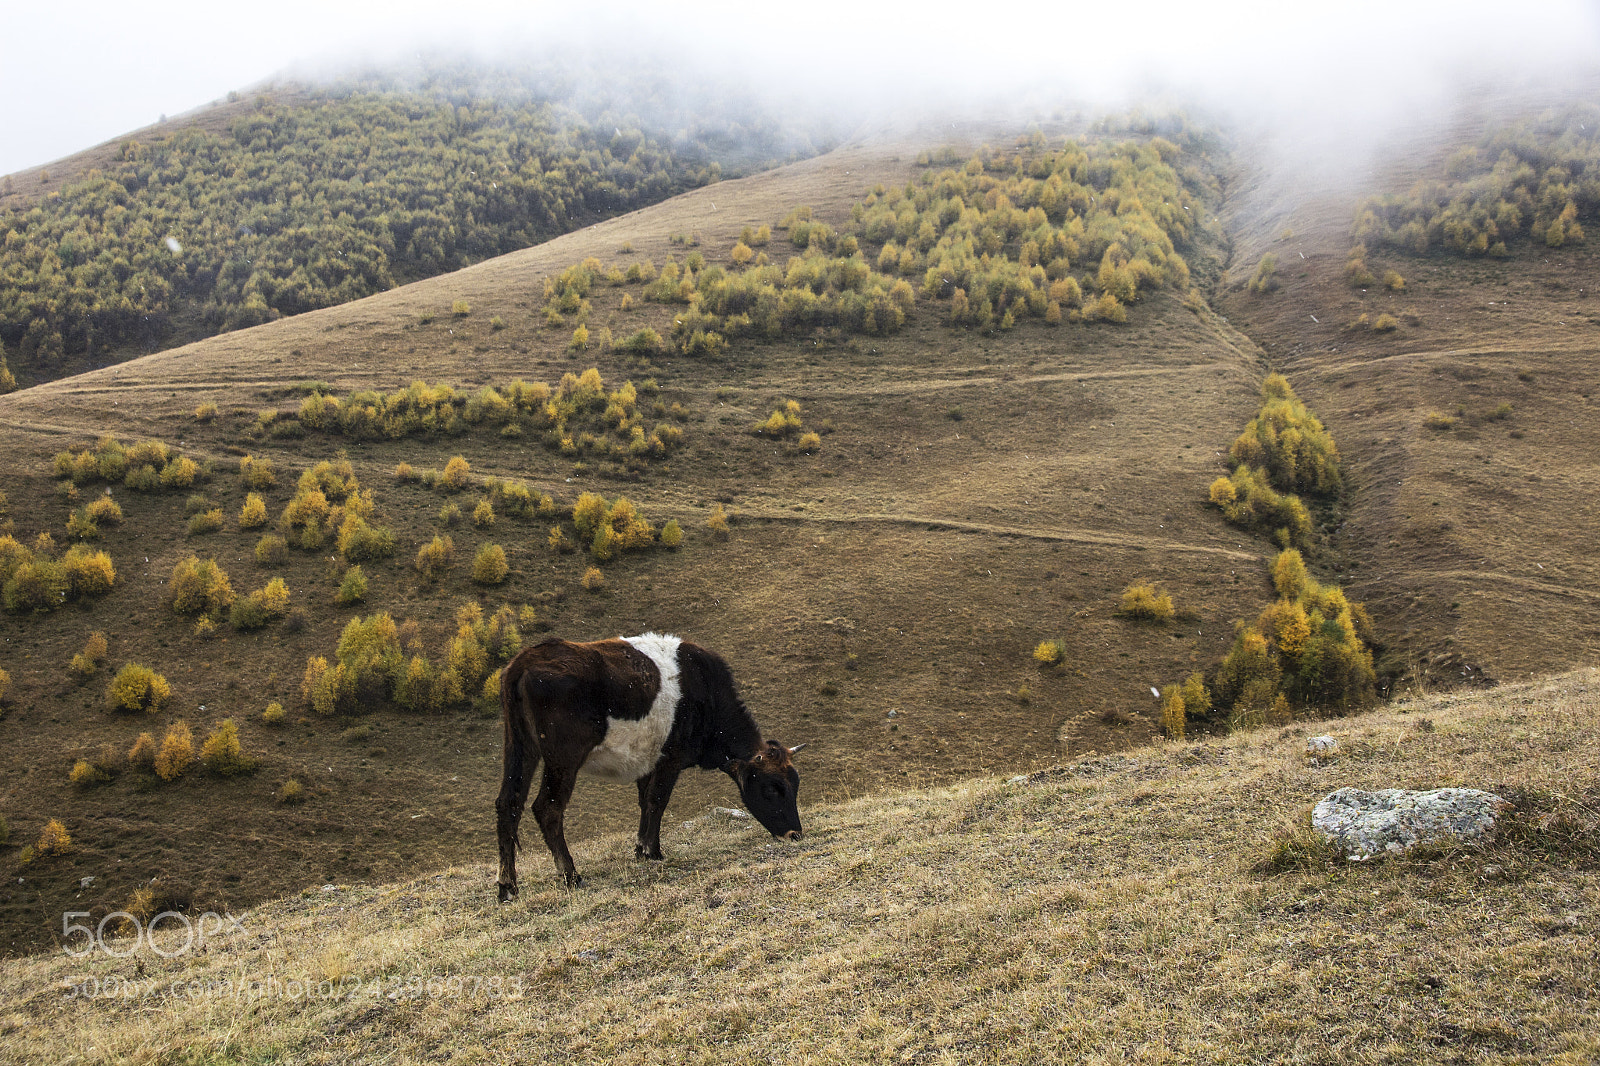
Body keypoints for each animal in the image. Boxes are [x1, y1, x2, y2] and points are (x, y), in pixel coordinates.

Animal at [495, 633, 802, 900]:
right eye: (772, 788)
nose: (795, 834)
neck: (706, 692)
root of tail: (525, 660)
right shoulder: (671, 759)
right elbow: (657, 800)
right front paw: (652, 851)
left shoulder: (647, 763)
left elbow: (644, 801)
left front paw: (640, 850)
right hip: (563, 758)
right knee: (547, 808)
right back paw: (571, 875)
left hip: (520, 747)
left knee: (508, 803)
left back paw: (508, 887)